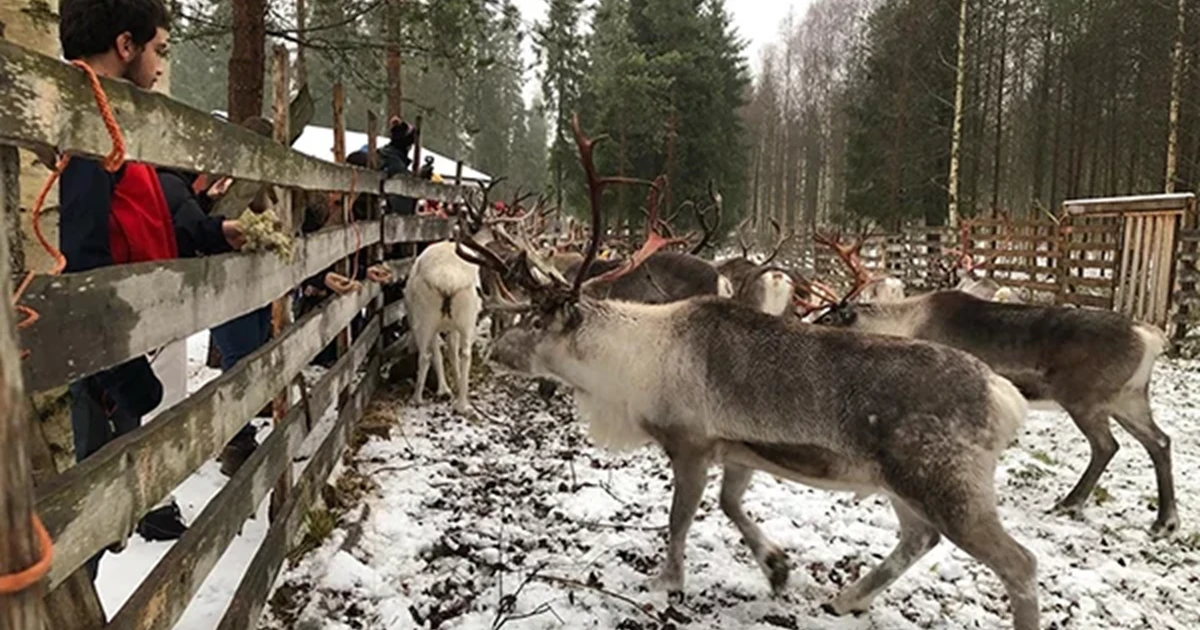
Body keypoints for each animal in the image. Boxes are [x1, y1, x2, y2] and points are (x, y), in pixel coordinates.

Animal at [461, 114, 1041, 630]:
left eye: (538, 319)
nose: (497, 352)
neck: (632, 364)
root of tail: (1005, 397)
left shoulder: (691, 443)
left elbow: (680, 519)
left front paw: (667, 582)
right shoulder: (741, 449)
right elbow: (730, 503)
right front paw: (777, 566)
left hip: (949, 487)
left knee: (1019, 563)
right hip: (903, 486)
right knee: (920, 538)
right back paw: (846, 598)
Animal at [812, 233, 1176, 537]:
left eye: (829, 317)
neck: (904, 325)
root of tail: (1151, 337)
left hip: (1085, 399)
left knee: (1107, 446)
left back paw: (1069, 503)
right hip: (1129, 399)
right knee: (1160, 441)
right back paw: (1165, 522)